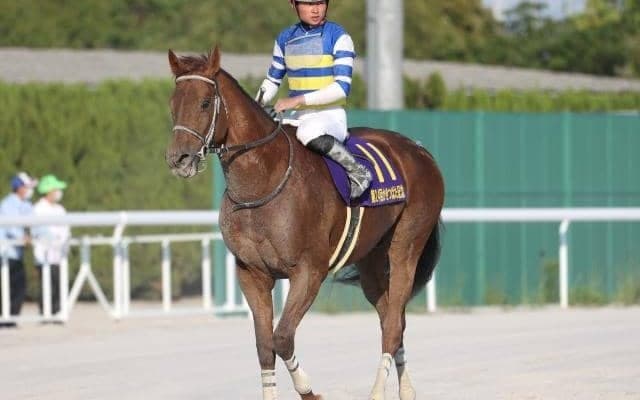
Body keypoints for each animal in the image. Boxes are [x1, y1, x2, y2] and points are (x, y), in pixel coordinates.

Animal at [165, 46, 445, 400]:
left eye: (204, 102)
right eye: (173, 103)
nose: (179, 159)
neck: (263, 180)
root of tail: (420, 151)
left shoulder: (309, 271)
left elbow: (282, 337)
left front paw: (311, 391)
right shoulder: (251, 273)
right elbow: (264, 346)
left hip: (406, 245)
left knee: (394, 324)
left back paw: (378, 392)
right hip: (371, 259)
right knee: (391, 319)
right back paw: (406, 390)